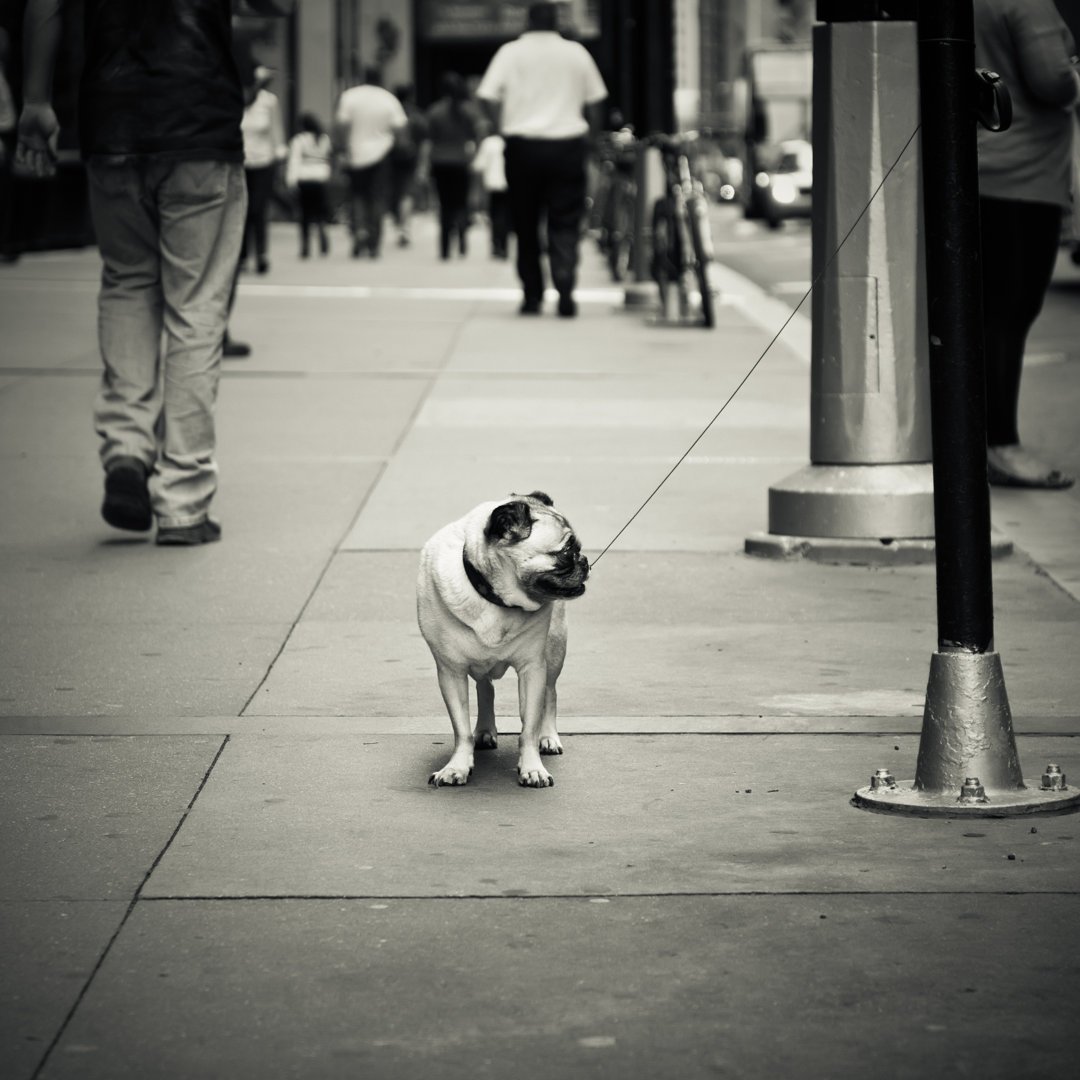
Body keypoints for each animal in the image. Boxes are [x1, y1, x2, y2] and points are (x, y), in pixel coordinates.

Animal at [416, 494, 591, 790]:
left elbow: (529, 728)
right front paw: (457, 766)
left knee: (550, 694)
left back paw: (548, 737)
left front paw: (532, 768)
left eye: (576, 548)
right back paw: (485, 730)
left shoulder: (532, 669)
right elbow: (461, 729)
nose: (585, 559)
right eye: (566, 551)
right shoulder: (451, 672)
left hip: (555, 650)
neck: (495, 599)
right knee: (485, 687)